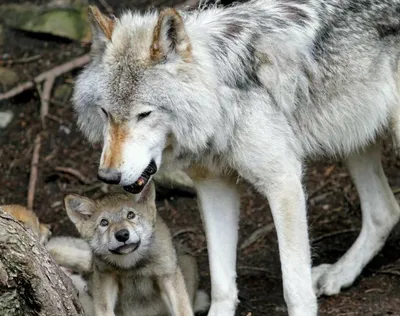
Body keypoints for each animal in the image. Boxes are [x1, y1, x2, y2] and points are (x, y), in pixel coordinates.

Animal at [73, 1, 400, 314]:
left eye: (144, 114)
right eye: (105, 113)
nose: (107, 176)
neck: (221, 99)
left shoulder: (284, 182)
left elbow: (295, 290)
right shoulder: (213, 186)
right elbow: (222, 283)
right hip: (355, 136)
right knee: (385, 211)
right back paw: (340, 273)